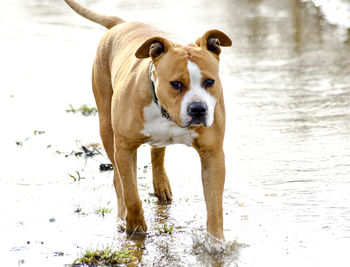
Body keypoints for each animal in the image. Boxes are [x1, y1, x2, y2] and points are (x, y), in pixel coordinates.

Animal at [64, 0, 231, 241]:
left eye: (210, 81)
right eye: (176, 84)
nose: (198, 109)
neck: (167, 114)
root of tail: (121, 24)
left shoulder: (213, 153)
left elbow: (215, 204)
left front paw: (216, 242)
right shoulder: (125, 147)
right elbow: (131, 192)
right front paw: (135, 227)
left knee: (157, 152)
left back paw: (161, 185)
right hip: (106, 127)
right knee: (119, 180)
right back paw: (122, 213)